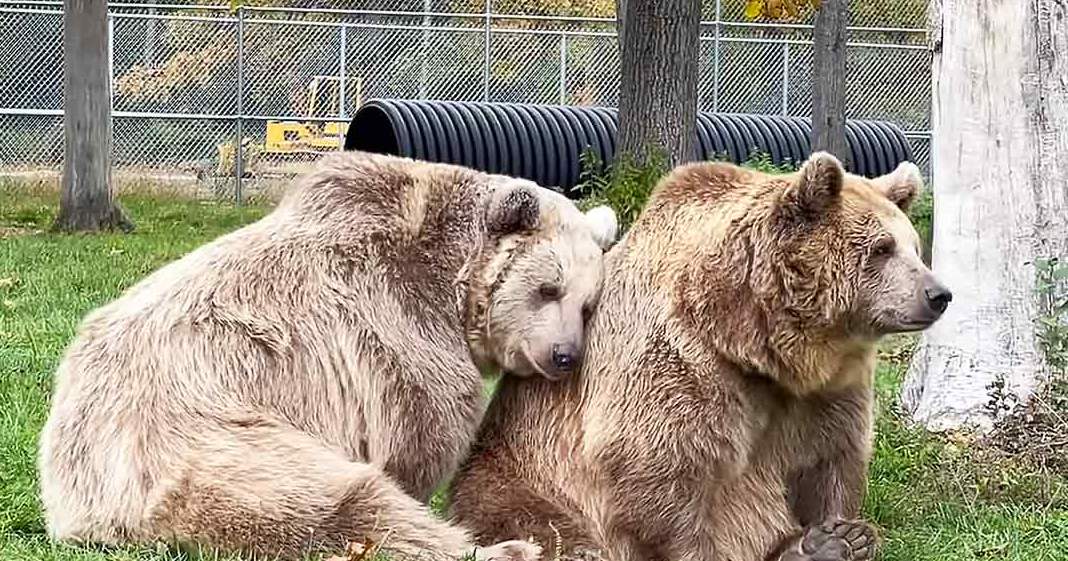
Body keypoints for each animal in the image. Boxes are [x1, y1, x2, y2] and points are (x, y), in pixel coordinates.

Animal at [37, 150, 619, 561]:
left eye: (588, 304)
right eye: (547, 288)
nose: (565, 355)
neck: (452, 282)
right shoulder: (396, 325)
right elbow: (419, 430)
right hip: (206, 439)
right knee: (340, 504)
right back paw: (507, 549)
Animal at [447, 152, 952, 561]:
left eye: (914, 245)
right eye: (882, 248)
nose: (938, 294)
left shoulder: (825, 390)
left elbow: (831, 458)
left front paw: (840, 536)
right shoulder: (678, 362)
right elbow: (660, 471)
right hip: (519, 474)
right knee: (532, 521)